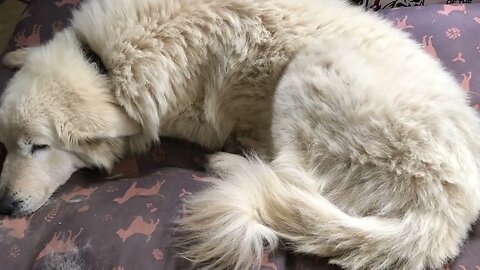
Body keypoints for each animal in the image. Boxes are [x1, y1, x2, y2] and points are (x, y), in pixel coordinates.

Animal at [0, 0, 480, 270]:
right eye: (5, 144)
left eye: (39, 146)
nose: (5, 206)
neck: (103, 62)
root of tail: (448, 214)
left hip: (312, 69)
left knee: (287, 178)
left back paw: (230, 161)